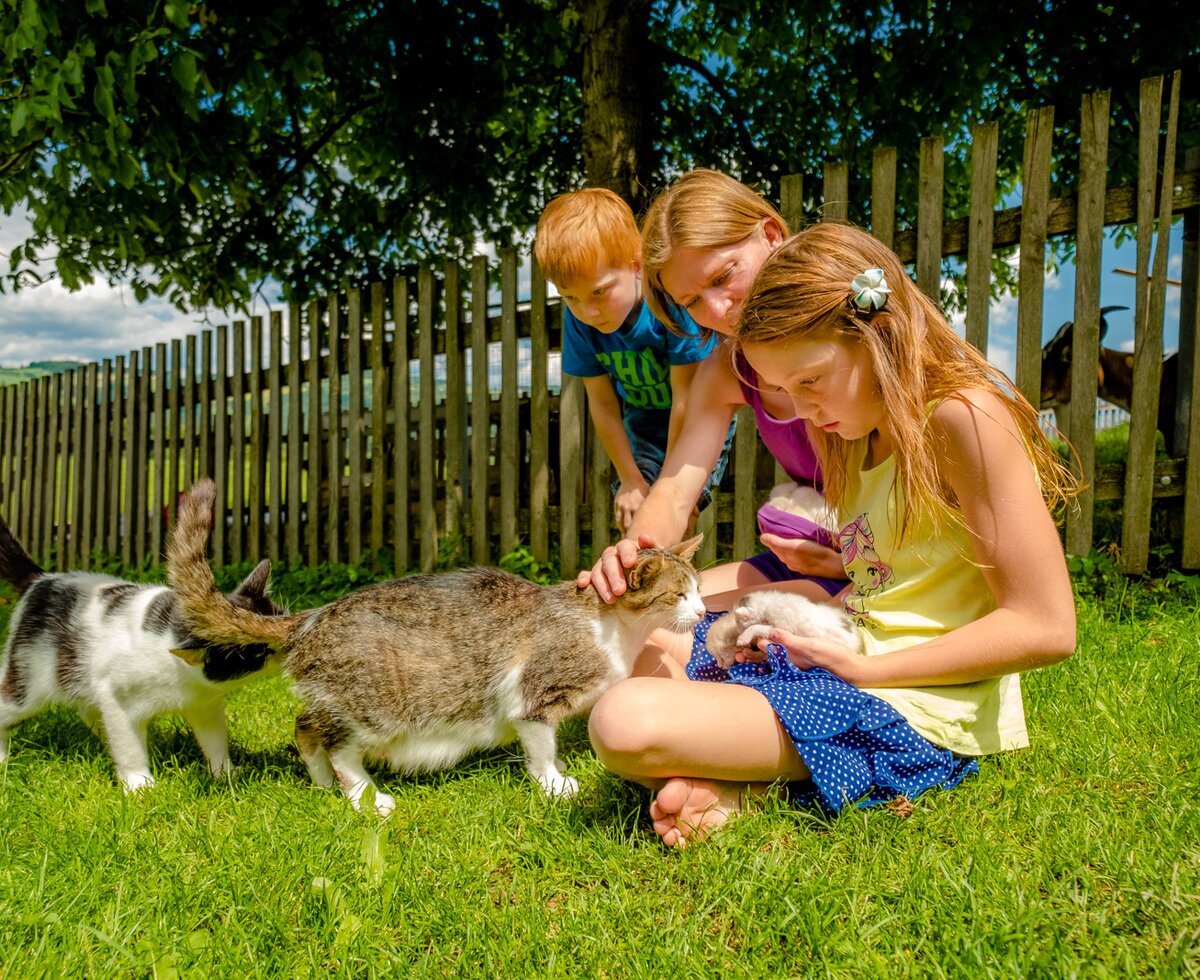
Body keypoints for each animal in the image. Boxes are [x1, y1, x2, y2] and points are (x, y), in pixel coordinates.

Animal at [0, 508, 285, 791]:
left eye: (282, 617)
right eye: (257, 652)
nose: (286, 644)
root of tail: (41, 580)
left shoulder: (205, 703)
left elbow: (214, 738)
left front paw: (225, 772)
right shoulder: (117, 698)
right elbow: (129, 746)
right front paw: (139, 785)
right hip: (29, 680)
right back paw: (3, 758)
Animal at [165, 477, 705, 815]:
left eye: (698, 590)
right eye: (679, 595)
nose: (702, 612)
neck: (614, 632)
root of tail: (315, 614)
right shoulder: (533, 697)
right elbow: (541, 746)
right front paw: (554, 783)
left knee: (304, 725)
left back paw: (321, 782)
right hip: (377, 704)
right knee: (335, 743)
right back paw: (366, 796)